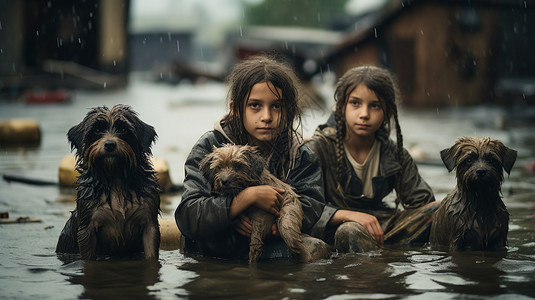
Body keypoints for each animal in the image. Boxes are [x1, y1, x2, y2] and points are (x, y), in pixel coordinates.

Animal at [57, 104, 161, 258]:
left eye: (123, 129)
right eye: (97, 130)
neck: (115, 178)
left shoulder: (150, 223)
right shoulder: (87, 228)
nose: (110, 144)